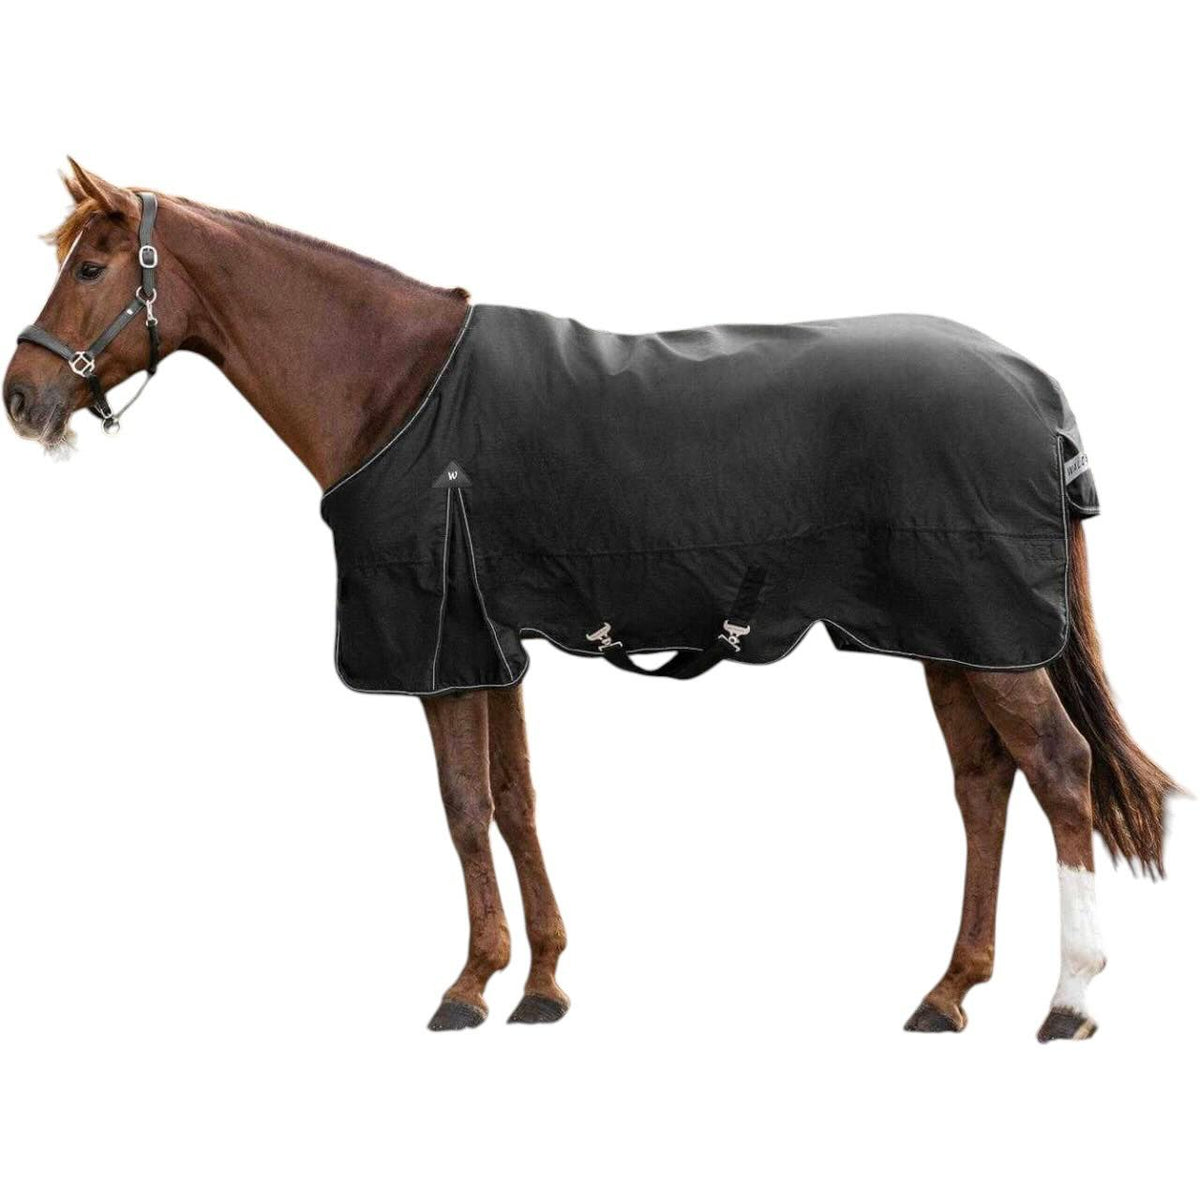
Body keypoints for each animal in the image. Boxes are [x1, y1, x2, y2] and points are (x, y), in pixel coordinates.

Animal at [4, 161, 1178, 1040]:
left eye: (94, 265)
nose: (22, 397)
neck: (397, 389)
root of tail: (1036, 389)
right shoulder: (494, 644)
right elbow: (516, 800)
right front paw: (540, 983)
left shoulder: (441, 649)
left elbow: (463, 807)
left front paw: (468, 985)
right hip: (951, 639)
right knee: (985, 786)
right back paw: (948, 992)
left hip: (990, 638)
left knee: (1059, 771)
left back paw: (1069, 999)